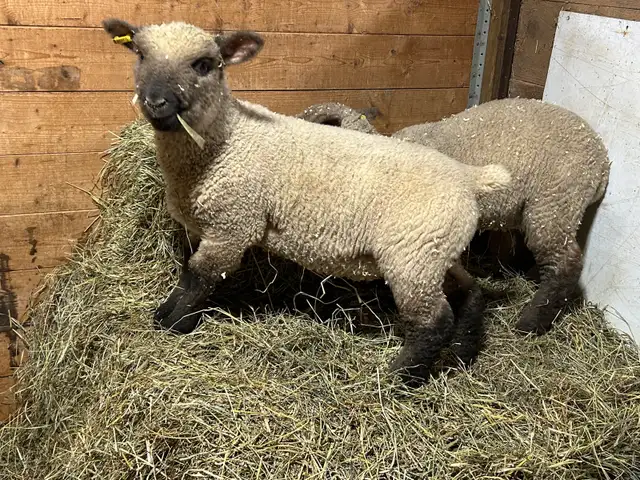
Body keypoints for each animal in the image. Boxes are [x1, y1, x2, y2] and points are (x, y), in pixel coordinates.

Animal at [102, 18, 513, 383]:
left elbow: (201, 276)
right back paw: (462, 355)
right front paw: (166, 315)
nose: (156, 102)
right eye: (140, 53)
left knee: (433, 321)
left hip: (413, 258)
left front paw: (174, 323)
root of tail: (469, 178)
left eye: (203, 64)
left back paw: (401, 378)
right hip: (435, 251)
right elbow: (190, 273)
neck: (226, 140)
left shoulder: (233, 226)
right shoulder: (211, 226)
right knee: (471, 293)